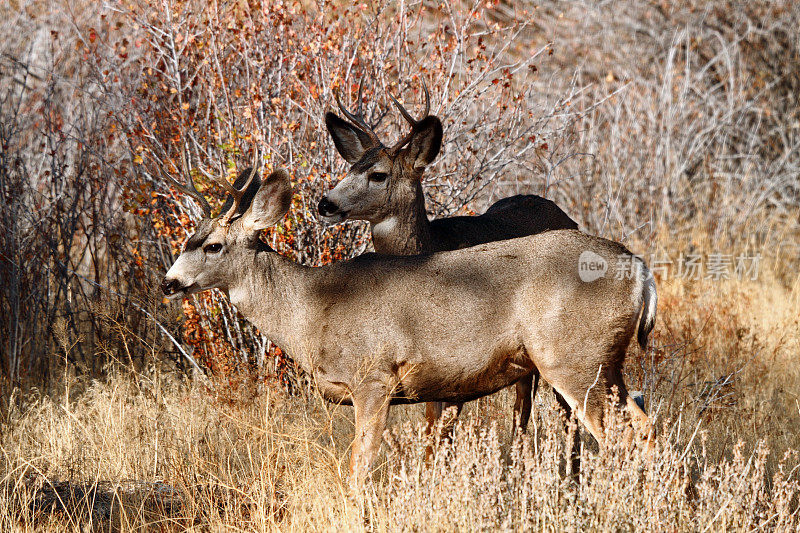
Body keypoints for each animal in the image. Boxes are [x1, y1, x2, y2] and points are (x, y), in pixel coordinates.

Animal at [162, 163, 656, 486]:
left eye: (212, 245)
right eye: (187, 240)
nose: (169, 283)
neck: (313, 308)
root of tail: (639, 269)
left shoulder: (374, 377)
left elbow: (360, 466)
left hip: (573, 360)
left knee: (619, 435)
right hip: (604, 364)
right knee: (644, 426)